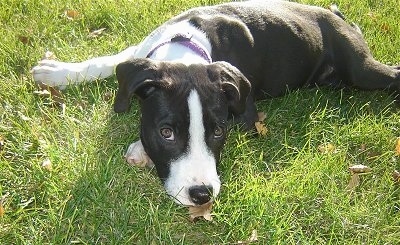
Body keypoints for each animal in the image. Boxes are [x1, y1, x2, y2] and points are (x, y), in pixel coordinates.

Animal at [32, 0, 400, 207]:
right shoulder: (142, 54)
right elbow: (109, 60)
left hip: (361, 68)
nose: (202, 195)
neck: (184, 48)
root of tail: (339, 16)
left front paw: (139, 149)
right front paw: (56, 71)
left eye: (219, 131)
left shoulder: (245, 112)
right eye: (166, 132)